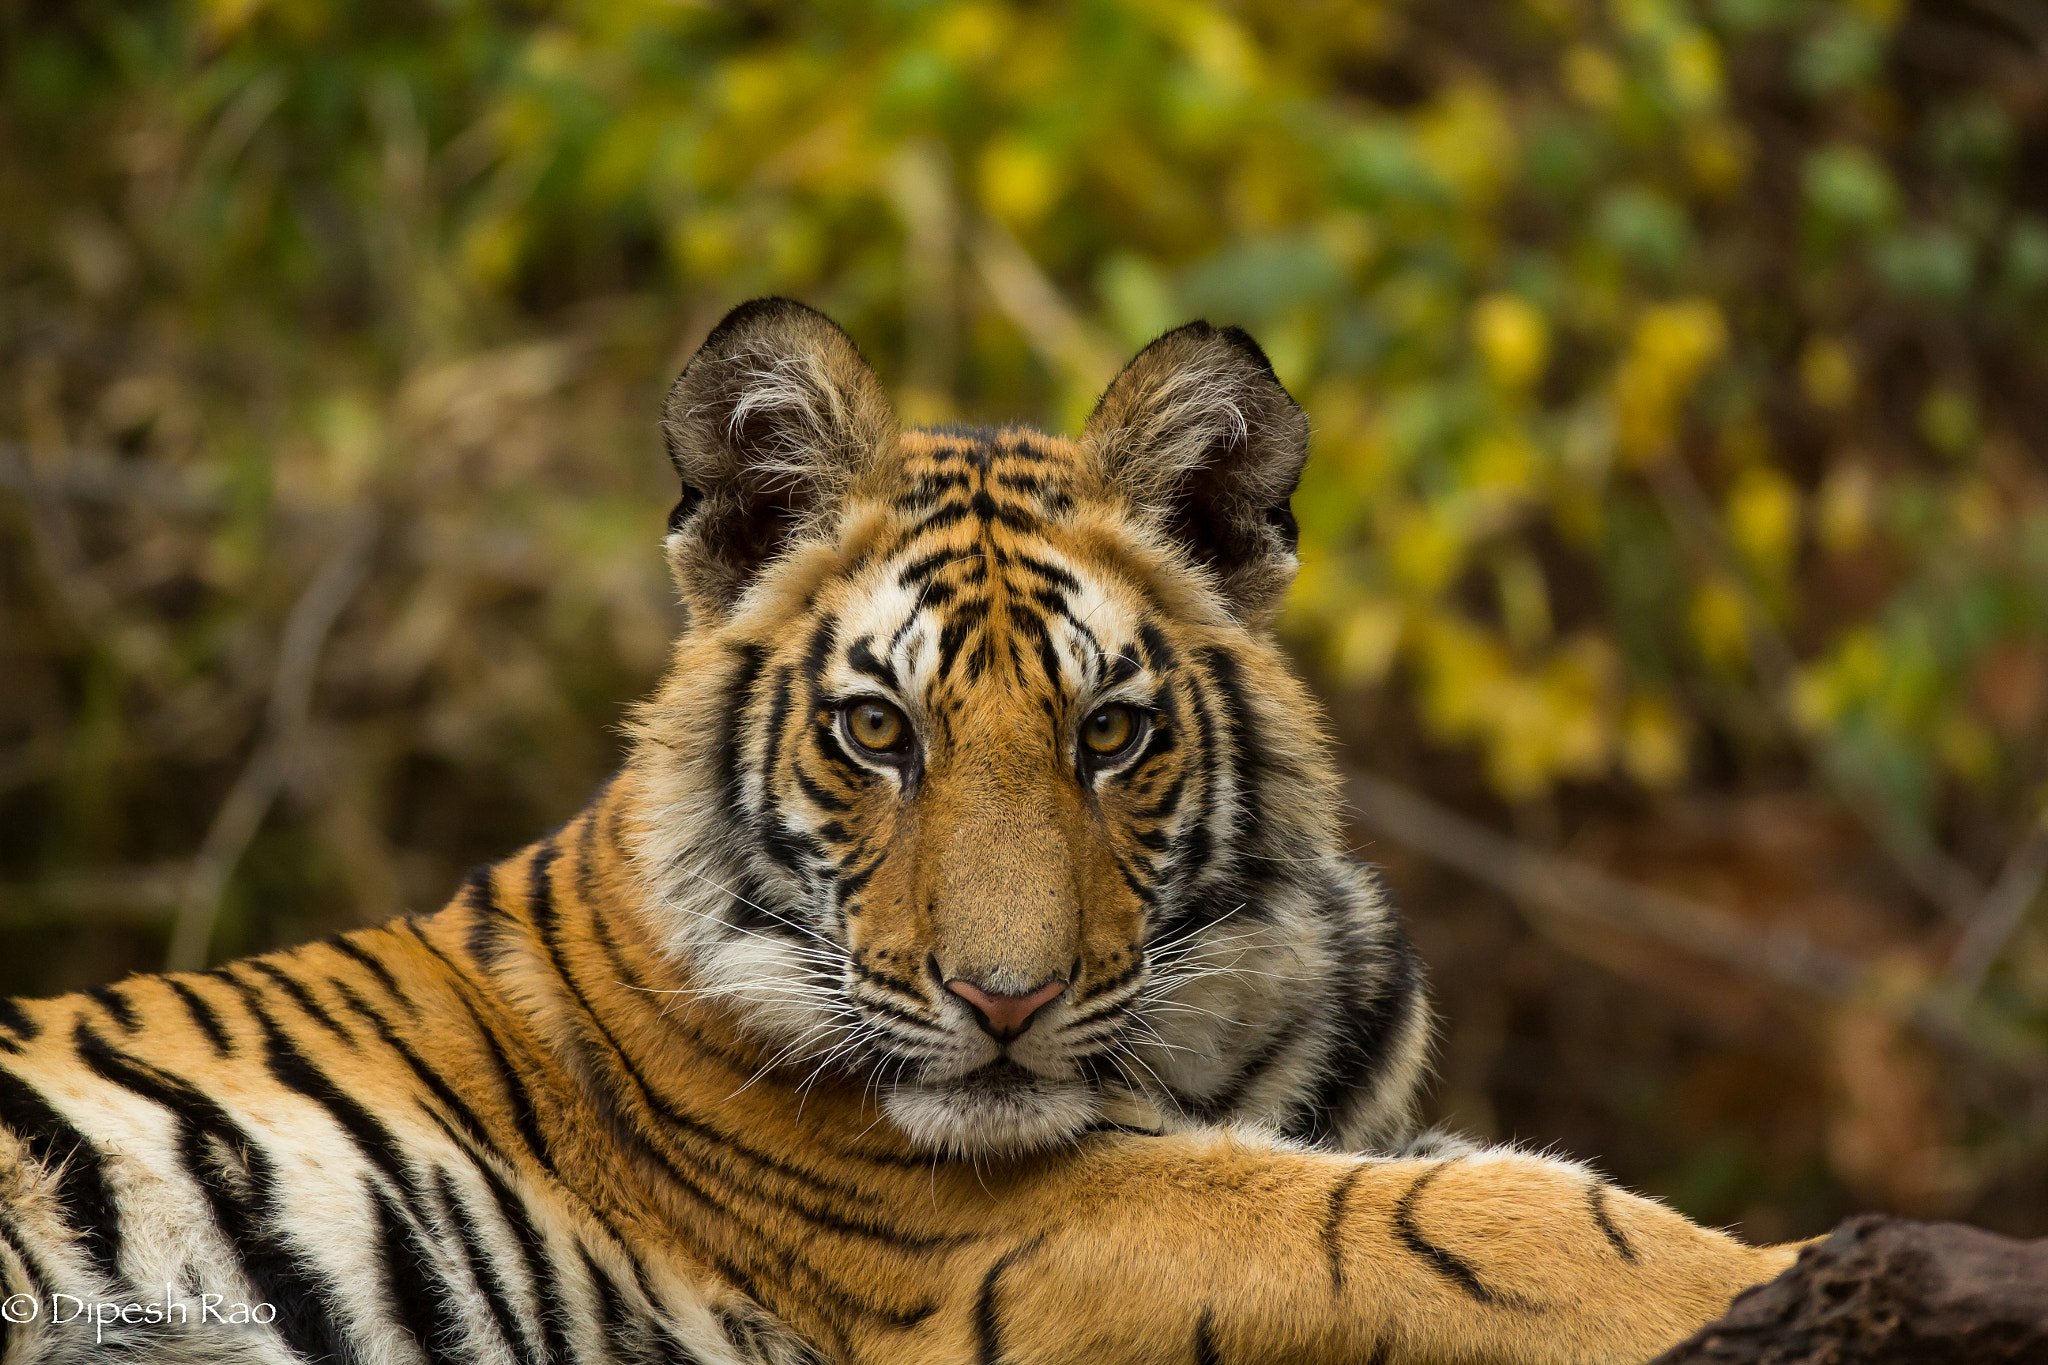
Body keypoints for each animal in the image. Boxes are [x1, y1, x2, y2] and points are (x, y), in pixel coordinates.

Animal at [0, 297, 1801, 1365]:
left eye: (1107, 735)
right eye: (879, 731)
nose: (1004, 1005)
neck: (1229, 1022)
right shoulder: (990, 1234)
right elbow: (1476, 1230)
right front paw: (1755, 1266)